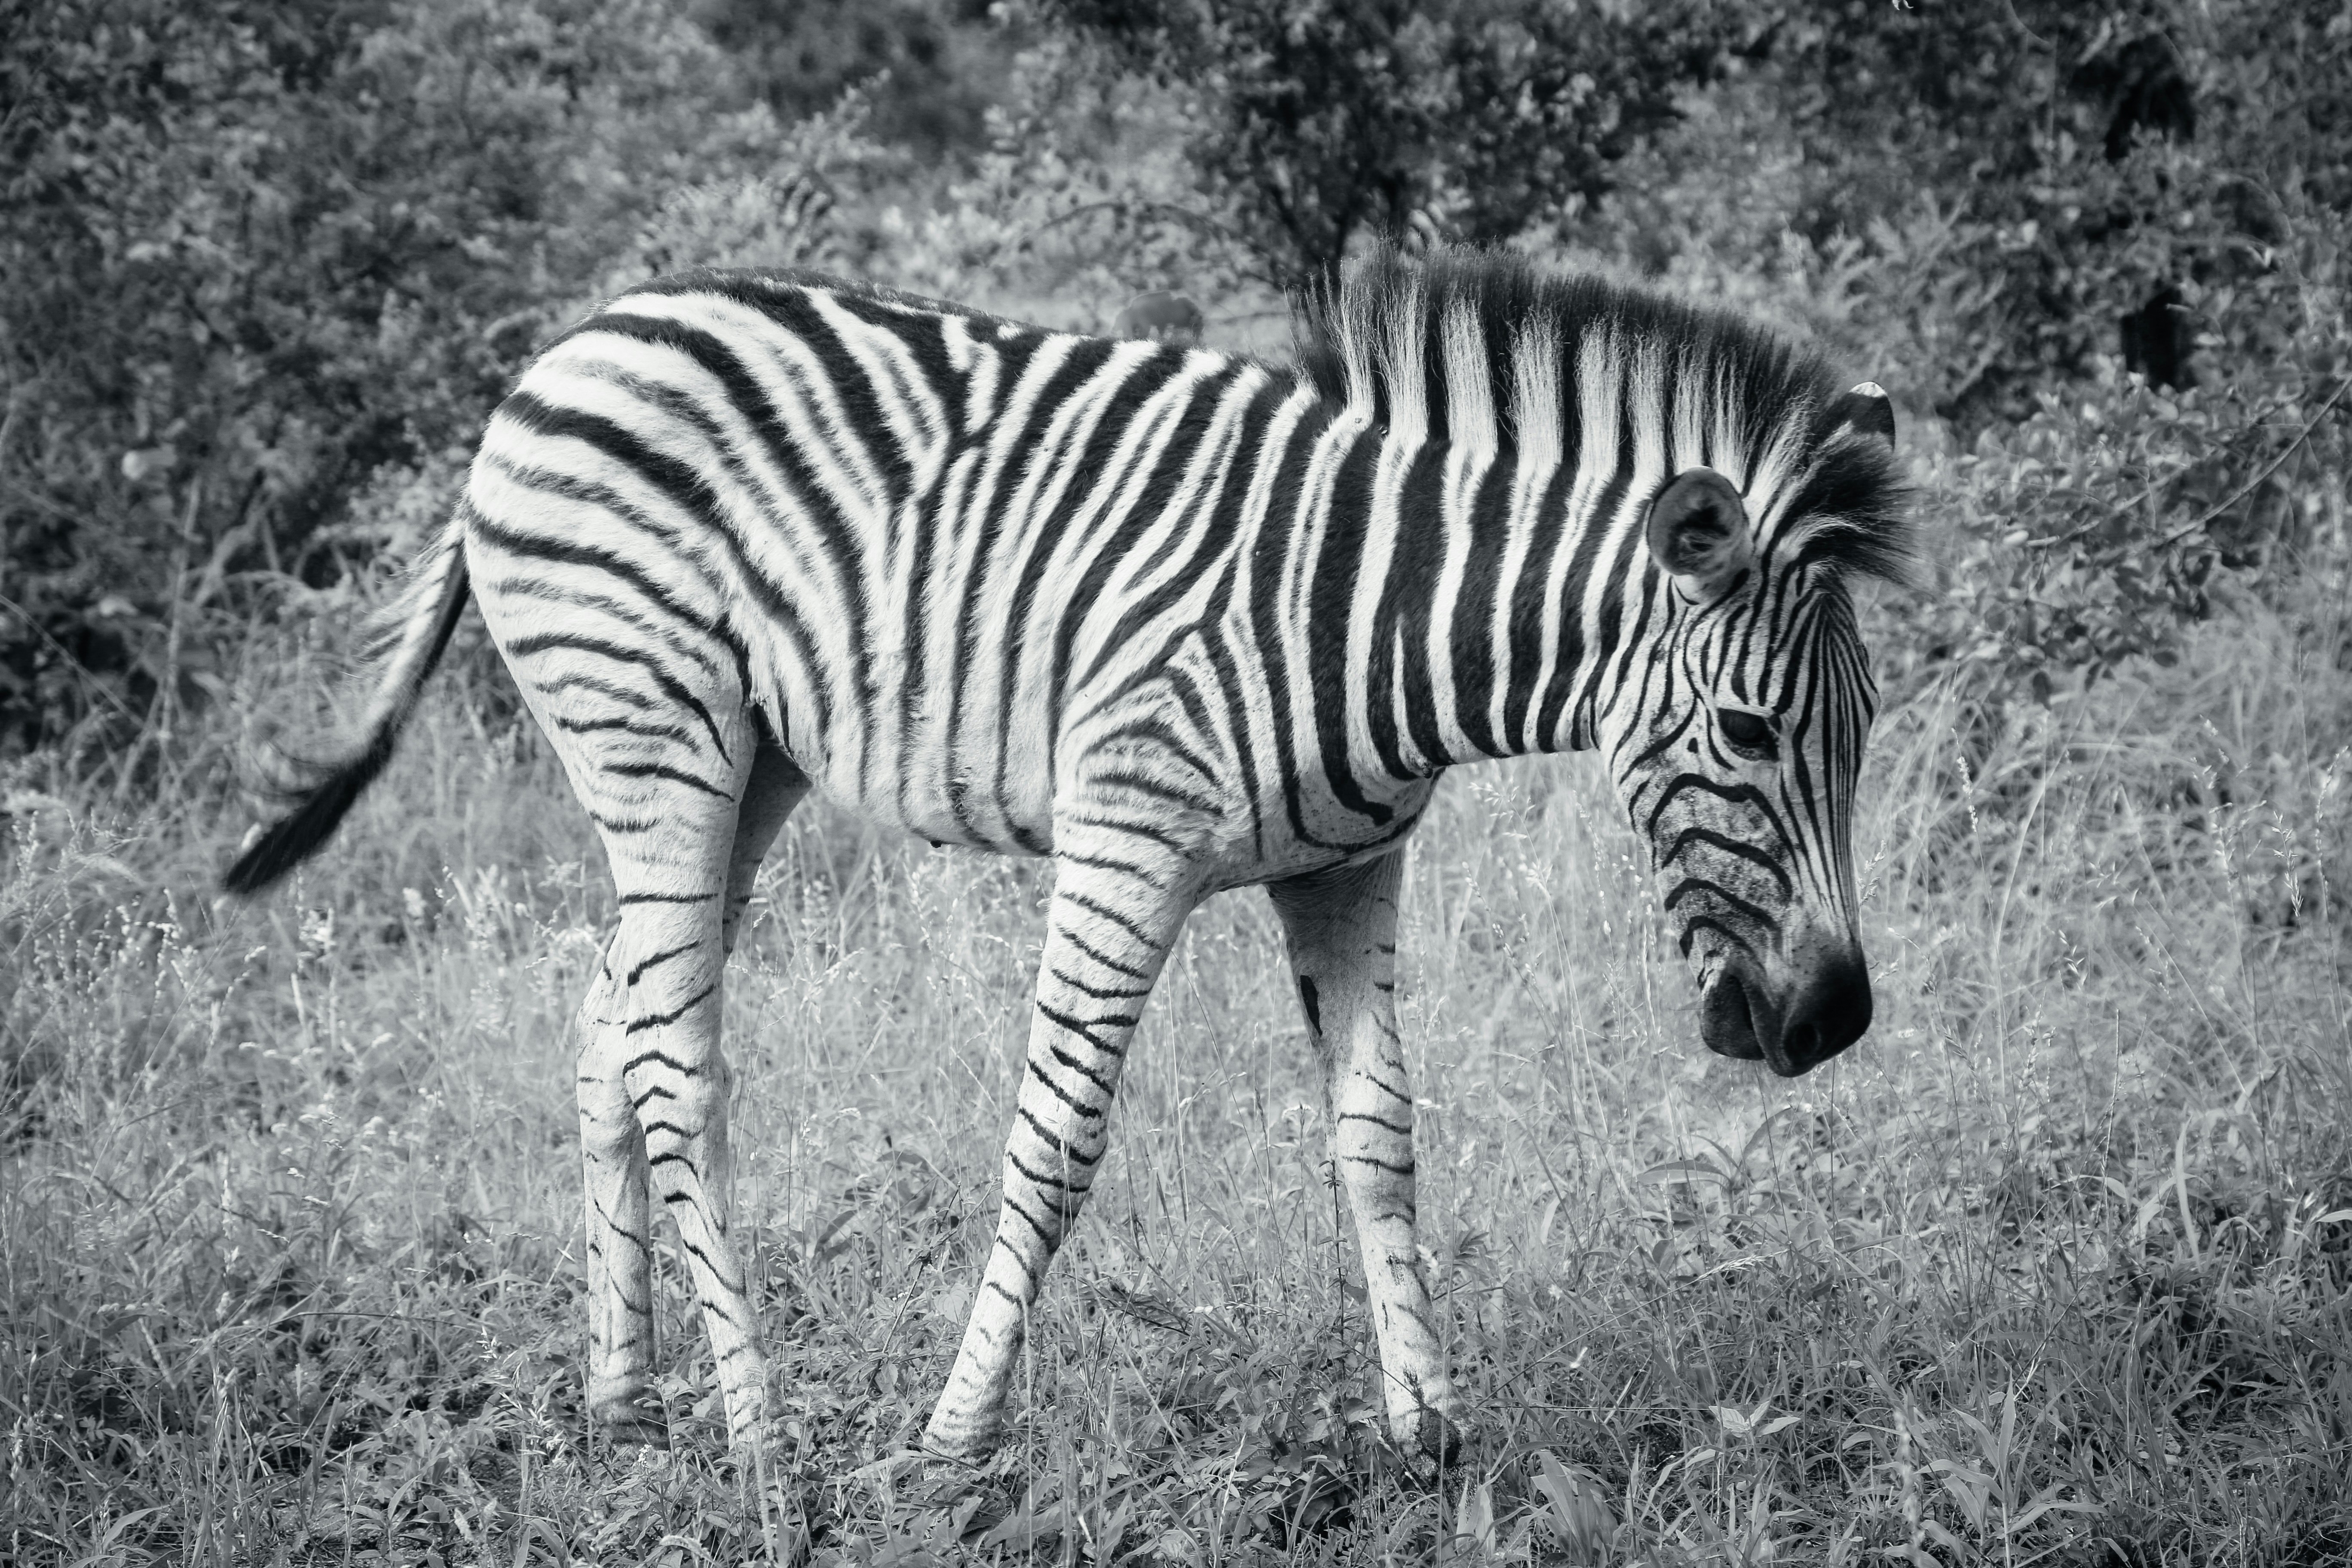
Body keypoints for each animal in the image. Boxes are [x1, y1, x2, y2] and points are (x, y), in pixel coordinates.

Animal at [222, 245, 1908, 1466]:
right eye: (1750, 730)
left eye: (1869, 727)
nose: (1837, 1021)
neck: (1376, 609)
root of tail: (559, 353)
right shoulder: (1126, 837)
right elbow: (1058, 1141)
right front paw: (952, 1443)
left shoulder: (1350, 867)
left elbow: (1378, 1138)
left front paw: (1430, 1432)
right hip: (655, 731)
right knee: (671, 1059)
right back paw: (759, 1437)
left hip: (746, 763)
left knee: (608, 1025)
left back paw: (622, 1408)